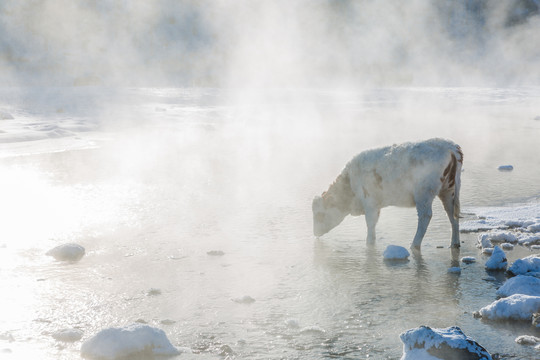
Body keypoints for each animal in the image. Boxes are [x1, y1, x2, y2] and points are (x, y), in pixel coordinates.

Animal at [314, 139, 462, 249]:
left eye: (319, 214)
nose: (315, 233)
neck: (350, 180)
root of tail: (450, 147)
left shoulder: (370, 203)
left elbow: (370, 224)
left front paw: (369, 243)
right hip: (448, 191)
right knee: (452, 216)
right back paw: (454, 243)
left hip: (423, 194)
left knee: (425, 217)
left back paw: (414, 244)